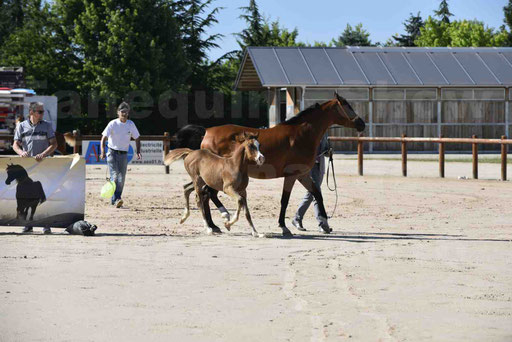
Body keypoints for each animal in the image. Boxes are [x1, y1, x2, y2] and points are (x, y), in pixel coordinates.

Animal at [178, 95, 366, 236]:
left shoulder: (302, 174)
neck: (301, 134)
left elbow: (317, 195)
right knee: (206, 195)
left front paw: (325, 224)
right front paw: (284, 227)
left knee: (205, 195)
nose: (361, 123)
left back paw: (215, 224)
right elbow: (285, 200)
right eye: (347, 106)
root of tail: (206, 132)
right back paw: (218, 221)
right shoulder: (291, 175)